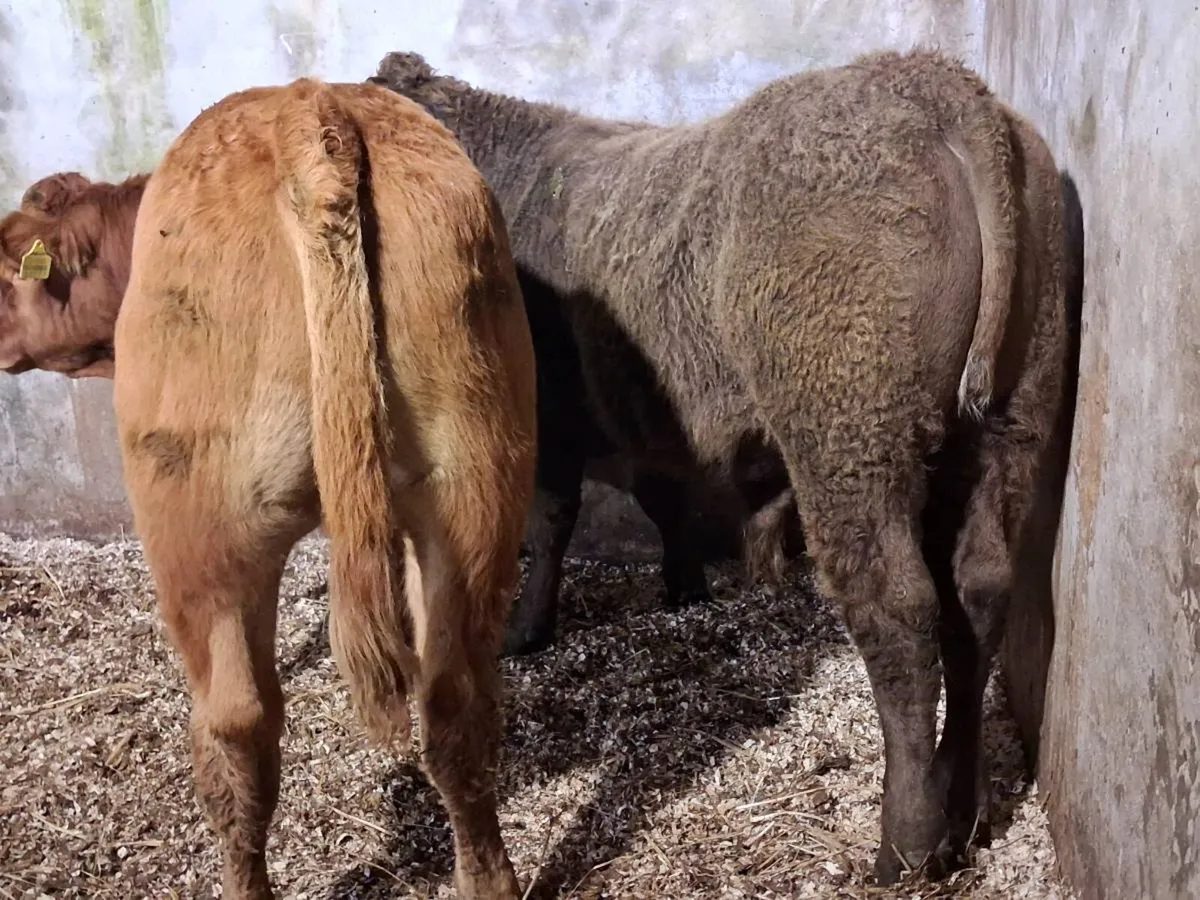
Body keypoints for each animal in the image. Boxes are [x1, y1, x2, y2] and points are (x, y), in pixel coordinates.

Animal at [4, 78, 540, 899]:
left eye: (6, 273)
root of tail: (310, 110)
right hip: (474, 474)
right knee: (455, 697)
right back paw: (489, 878)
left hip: (200, 519)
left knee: (237, 726)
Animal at [370, 47, 1069, 884]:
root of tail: (929, 80)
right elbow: (665, 502)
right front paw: (683, 588)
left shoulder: (542, 422)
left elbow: (552, 522)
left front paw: (528, 628)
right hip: (1013, 417)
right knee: (980, 589)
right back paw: (964, 812)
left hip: (847, 430)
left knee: (899, 612)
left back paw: (902, 846)